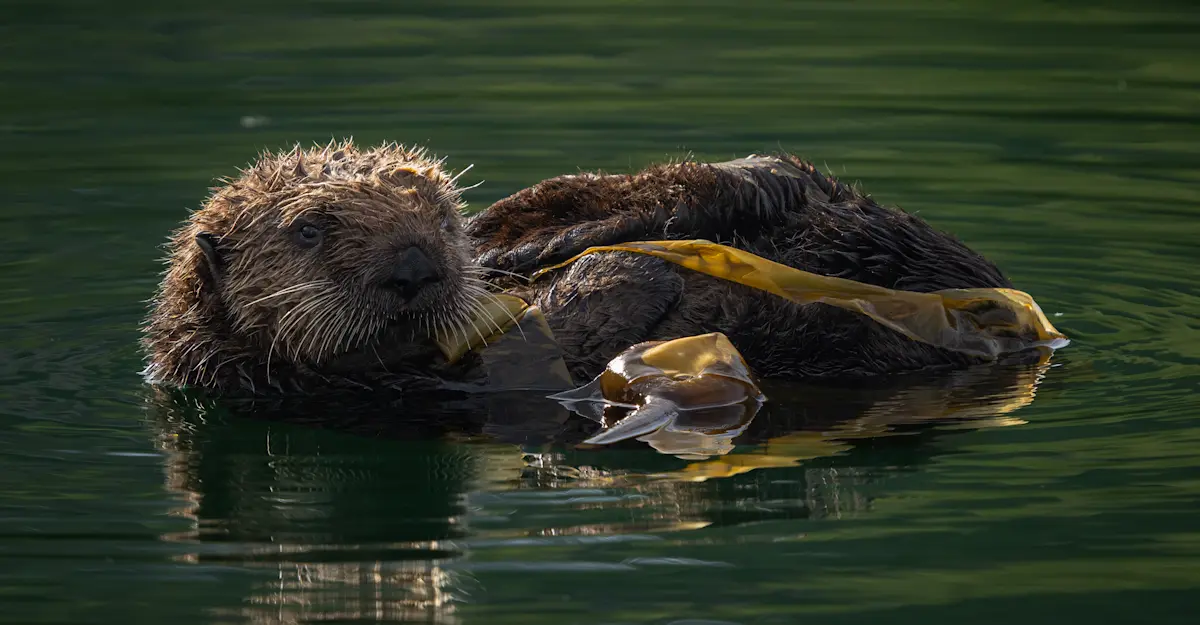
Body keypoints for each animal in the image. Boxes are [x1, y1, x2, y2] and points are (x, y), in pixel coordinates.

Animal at [142, 141, 1024, 396]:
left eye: (439, 214)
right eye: (309, 230)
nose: (416, 265)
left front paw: (502, 244)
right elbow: (591, 315)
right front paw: (612, 274)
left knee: (722, 182)